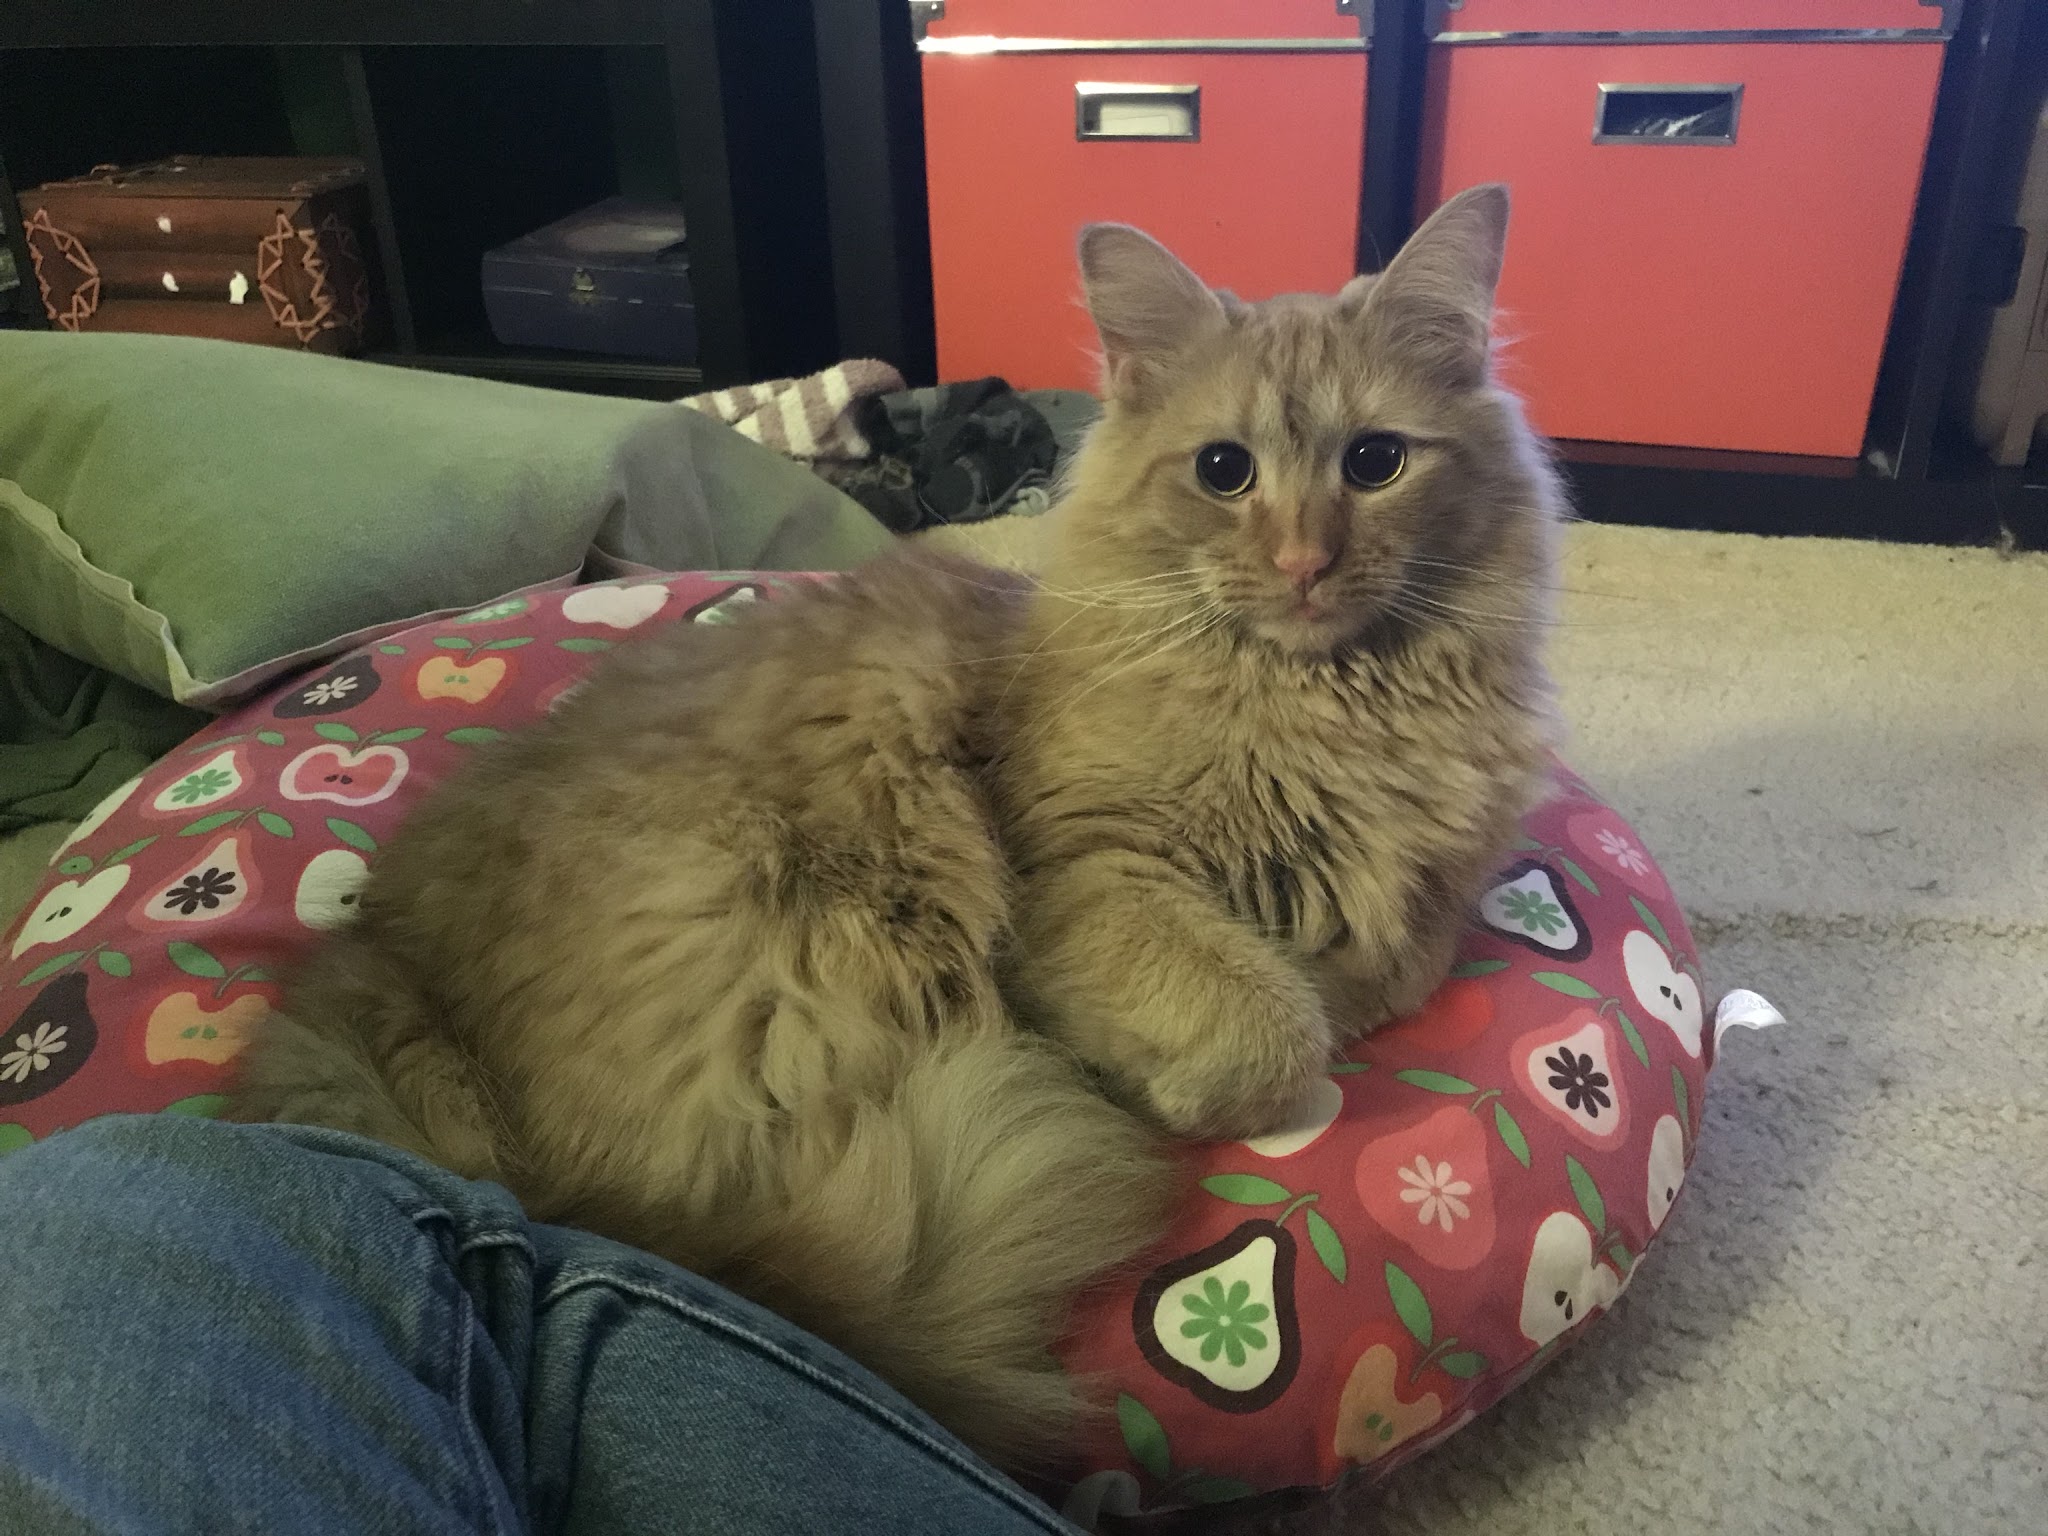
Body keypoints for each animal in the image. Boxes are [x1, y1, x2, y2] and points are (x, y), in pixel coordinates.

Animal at [231, 182, 1561, 1470]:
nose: (1301, 562)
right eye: (1223, 470)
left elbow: (1371, 973)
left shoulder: (1417, 916)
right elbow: (1273, 1026)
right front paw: (1179, 1081)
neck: (1321, 714)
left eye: (1374, 462)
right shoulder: (1084, 874)